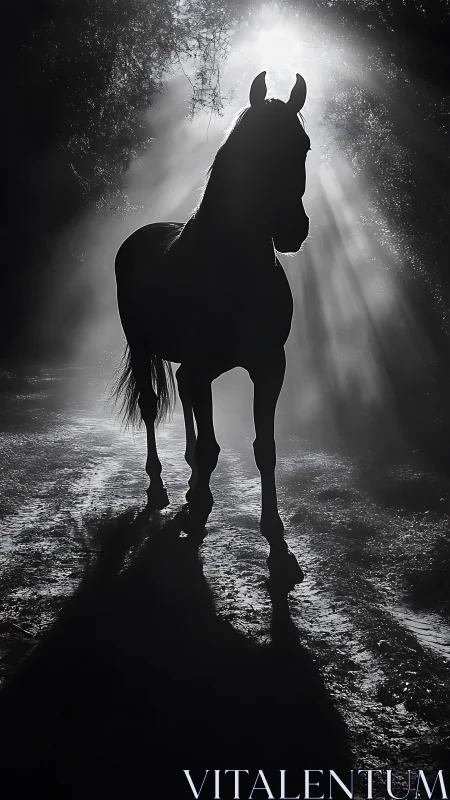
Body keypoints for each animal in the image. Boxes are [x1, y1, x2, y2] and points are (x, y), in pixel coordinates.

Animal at [114, 71, 311, 589]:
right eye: (253, 147)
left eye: (302, 145)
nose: (293, 229)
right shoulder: (204, 368)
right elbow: (211, 444)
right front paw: (199, 506)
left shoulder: (269, 366)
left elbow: (264, 449)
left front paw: (278, 546)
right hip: (142, 349)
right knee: (151, 407)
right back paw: (161, 488)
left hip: (189, 365)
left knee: (184, 401)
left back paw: (186, 485)